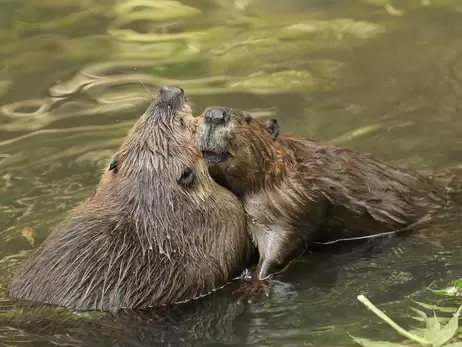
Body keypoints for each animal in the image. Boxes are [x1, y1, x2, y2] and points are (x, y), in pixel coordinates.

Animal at [195, 106, 448, 300]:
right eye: (203, 112)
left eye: (247, 118)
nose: (214, 114)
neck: (279, 172)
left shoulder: (291, 200)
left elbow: (283, 241)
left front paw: (253, 284)